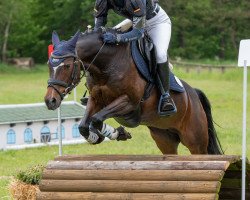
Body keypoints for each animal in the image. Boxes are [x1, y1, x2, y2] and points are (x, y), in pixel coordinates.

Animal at [44, 28, 223, 154]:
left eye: (67, 66)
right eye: (48, 65)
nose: (50, 101)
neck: (107, 65)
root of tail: (194, 94)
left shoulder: (129, 103)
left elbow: (96, 119)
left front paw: (114, 133)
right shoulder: (96, 100)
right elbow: (83, 125)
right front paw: (100, 136)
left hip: (195, 140)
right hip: (164, 138)